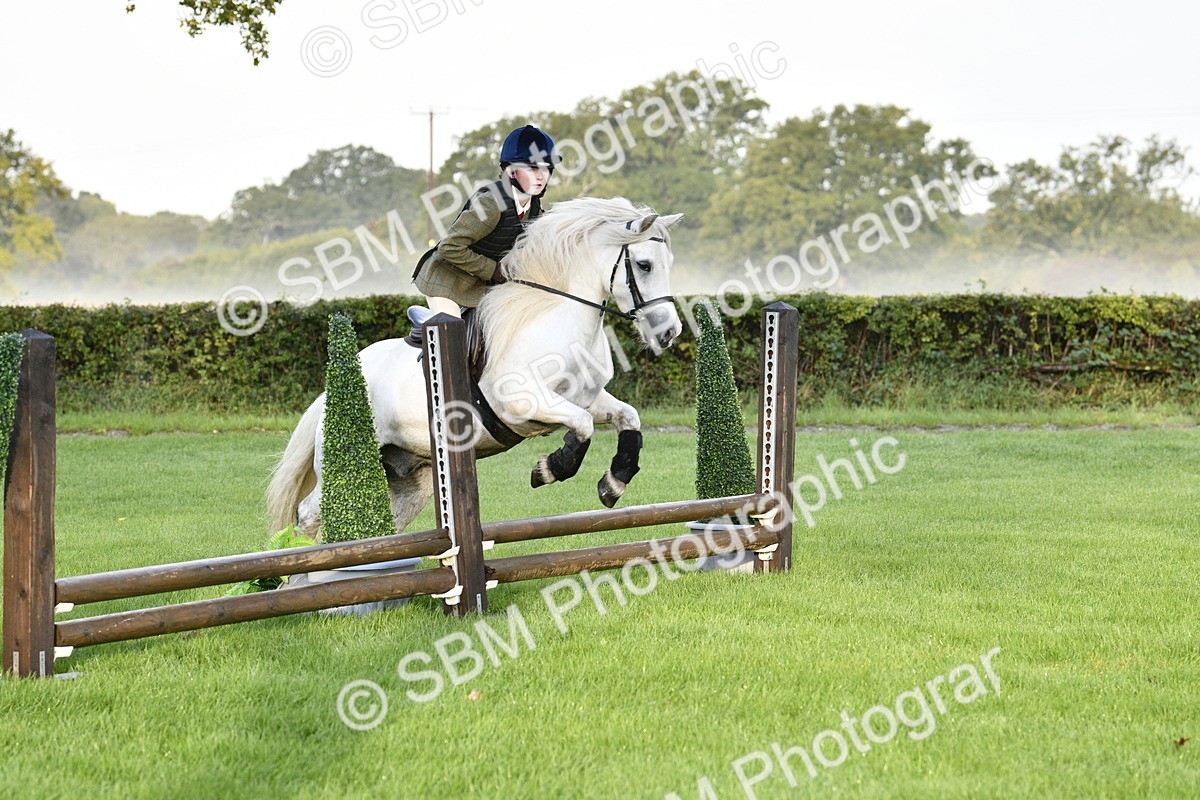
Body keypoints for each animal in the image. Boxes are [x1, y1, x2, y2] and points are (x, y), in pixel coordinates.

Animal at [266, 197, 685, 540]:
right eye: (644, 265)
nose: (669, 333)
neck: (553, 316)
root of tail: (329, 390)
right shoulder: (521, 402)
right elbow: (581, 427)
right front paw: (548, 469)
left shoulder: (587, 397)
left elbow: (628, 419)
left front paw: (613, 484)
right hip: (343, 463)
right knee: (309, 516)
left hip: (409, 478)